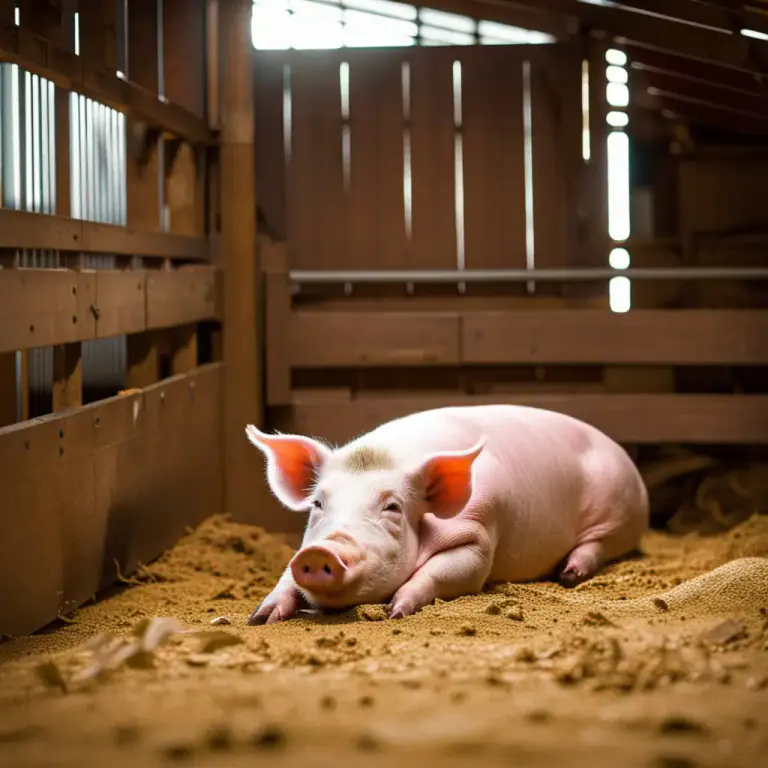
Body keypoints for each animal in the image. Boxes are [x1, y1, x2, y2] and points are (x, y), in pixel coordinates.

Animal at [244, 404, 649, 625]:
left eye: (392, 507)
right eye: (317, 504)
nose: (320, 551)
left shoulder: (478, 536)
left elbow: (446, 573)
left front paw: (396, 611)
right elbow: (285, 577)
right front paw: (259, 617)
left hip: (618, 516)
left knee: (597, 546)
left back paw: (569, 574)